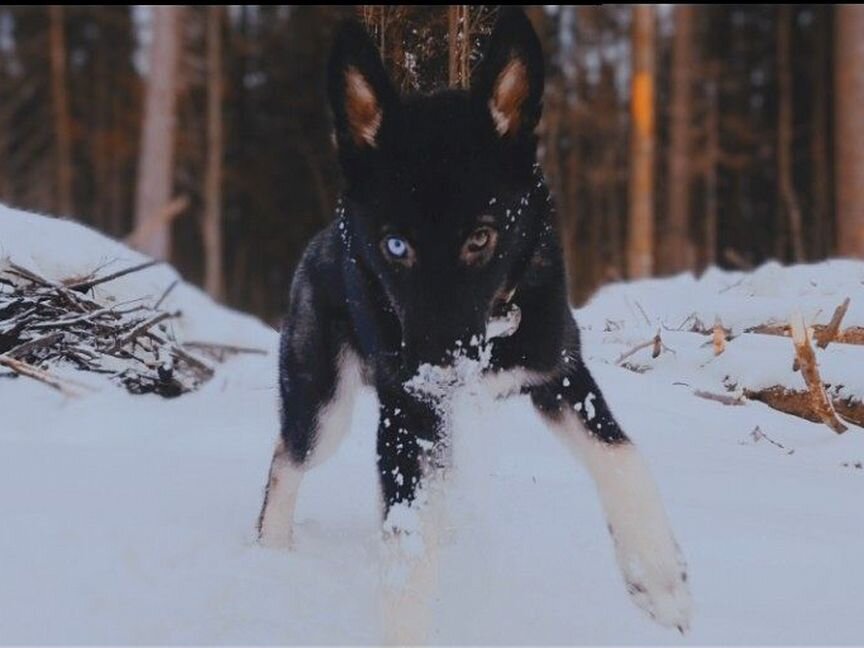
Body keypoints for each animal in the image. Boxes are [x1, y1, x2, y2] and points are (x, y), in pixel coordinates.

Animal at [255, 8, 688, 636]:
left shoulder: (559, 371)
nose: (435, 369)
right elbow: (406, 547)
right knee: (288, 457)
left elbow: (620, 453)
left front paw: (658, 577)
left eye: (481, 238)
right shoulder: (408, 414)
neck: (493, 328)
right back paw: (270, 550)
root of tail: (318, 242)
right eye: (395, 245)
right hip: (324, 404)